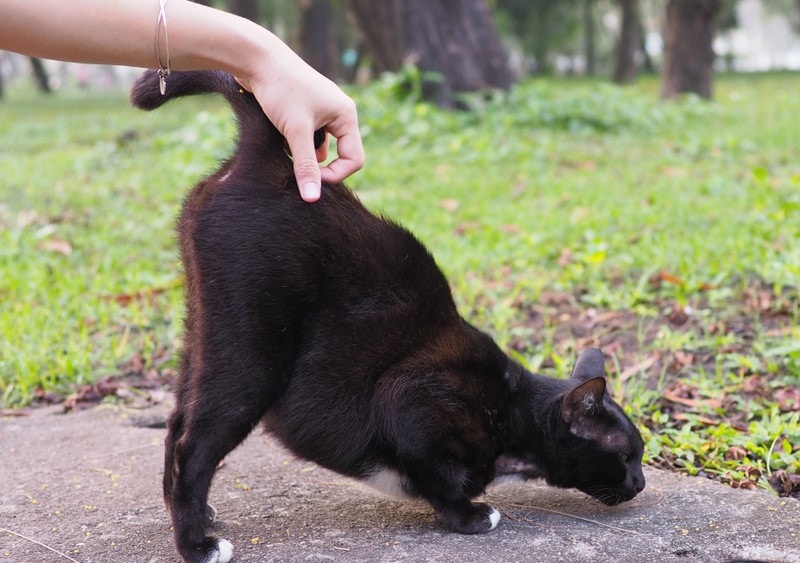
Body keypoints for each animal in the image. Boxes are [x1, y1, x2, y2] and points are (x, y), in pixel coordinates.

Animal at [130, 70, 644, 563]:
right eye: (626, 457)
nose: (641, 483)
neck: (515, 411)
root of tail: (269, 154)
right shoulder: (412, 399)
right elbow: (437, 478)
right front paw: (470, 515)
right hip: (252, 352)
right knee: (194, 443)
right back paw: (196, 544)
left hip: (203, 331)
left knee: (176, 421)